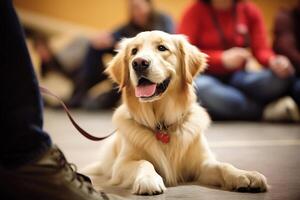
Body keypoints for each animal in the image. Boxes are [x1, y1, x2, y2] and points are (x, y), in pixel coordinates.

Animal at [84, 31, 268, 195]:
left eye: (162, 48)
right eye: (134, 51)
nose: (139, 63)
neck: (161, 125)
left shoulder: (202, 163)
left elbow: (223, 165)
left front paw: (244, 175)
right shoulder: (121, 164)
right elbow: (144, 162)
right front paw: (148, 179)